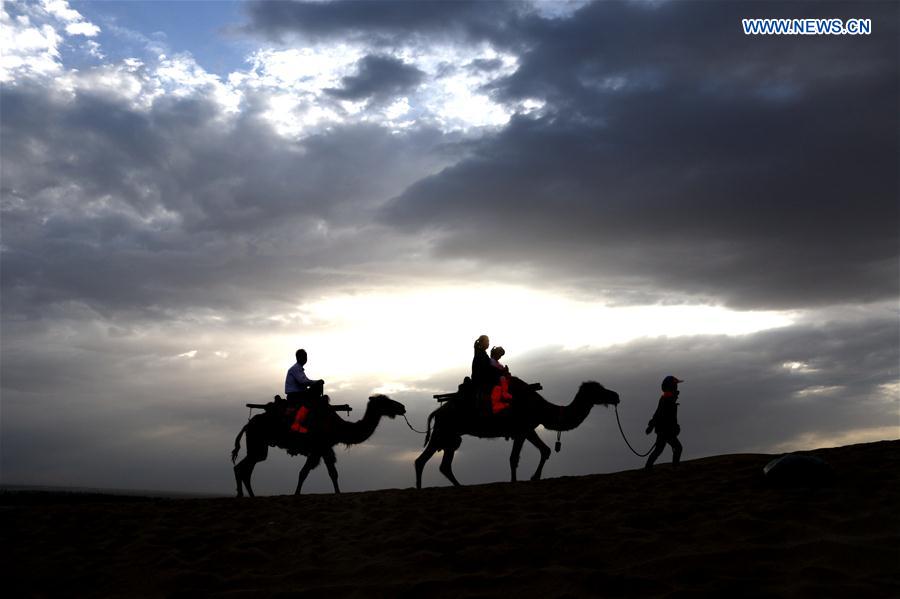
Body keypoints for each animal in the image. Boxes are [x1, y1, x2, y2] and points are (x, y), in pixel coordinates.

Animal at [232, 396, 404, 500]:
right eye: (386, 401)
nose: (402, 407)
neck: (338, 427)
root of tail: (247, 425)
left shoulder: (325, 449)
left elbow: (333, 473)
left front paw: (338, 494)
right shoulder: (318, 448)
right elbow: (303, 473)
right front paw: (296, 495)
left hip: (259, 447)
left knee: (245, 469)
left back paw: (250, 496)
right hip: (257, 443)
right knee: (242, 468)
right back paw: (242, 495)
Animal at [414, 378, 620, 490]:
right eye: (598, 389)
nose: (616, 396)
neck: (541, 408)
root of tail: (437, 412)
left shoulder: (528, 429)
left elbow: (545, 450)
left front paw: (534, 477)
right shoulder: (521, 430)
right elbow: (514, 458)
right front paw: (515, 482)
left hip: (451, 435)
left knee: (443, 465)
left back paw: (458, 486)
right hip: (444, 430)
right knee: (421, 460)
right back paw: (420, 488)